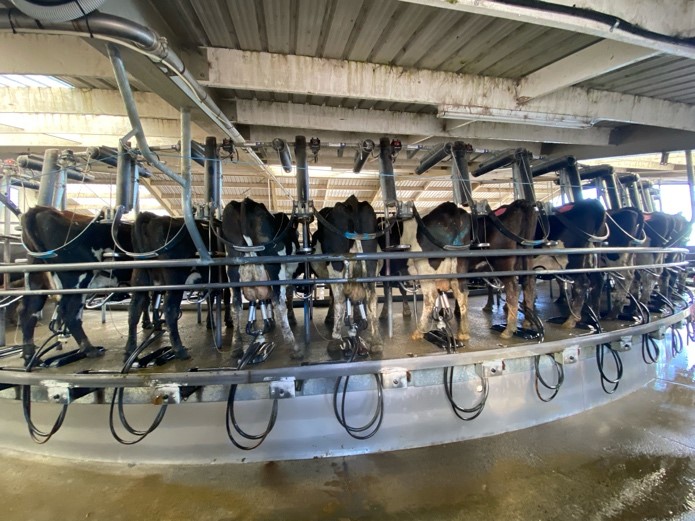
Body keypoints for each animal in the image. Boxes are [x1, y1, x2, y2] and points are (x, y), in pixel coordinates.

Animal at [221, 198, 300, 358]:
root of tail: (245, 202)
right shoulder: (289, 275)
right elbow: (288, 296)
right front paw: (290, 317)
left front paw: (270, 320)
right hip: (275, 268)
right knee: (278, 302)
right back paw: (293, 346)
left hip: (232, 271)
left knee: (236, 305)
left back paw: (236, 347)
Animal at [312, 195, 383, 354]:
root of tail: (351, 201)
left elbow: (334, 298)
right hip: (370, 261)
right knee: (372, 296)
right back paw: (376, 341)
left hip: (336, 264)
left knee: (340, 299)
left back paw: (335, 339)